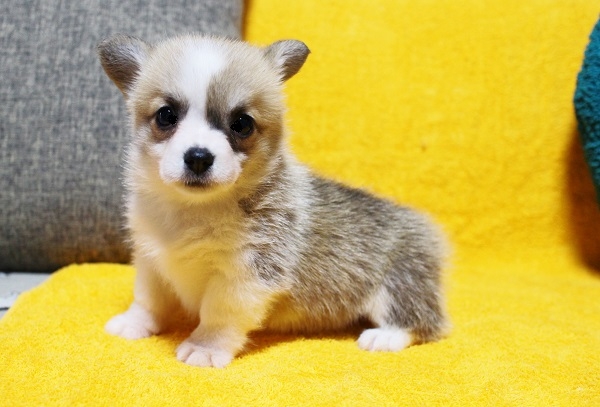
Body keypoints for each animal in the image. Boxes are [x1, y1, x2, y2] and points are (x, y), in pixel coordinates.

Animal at [98, 34, 449, 368]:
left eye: (242, 123)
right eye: (166, 116)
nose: (198, 157)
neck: (194, 209)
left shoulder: (246, 276)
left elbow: (218, 313)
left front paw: (204, 347)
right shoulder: (150, 260)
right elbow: (148, 299)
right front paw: (134, 323)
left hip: (399, 282)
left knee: (422, 321)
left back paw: (384, 337)